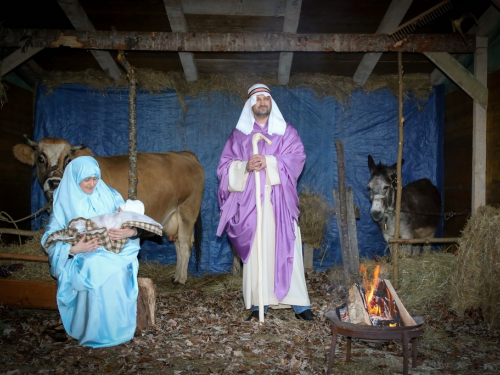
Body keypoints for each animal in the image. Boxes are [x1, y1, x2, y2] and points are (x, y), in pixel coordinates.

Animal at [13, 137, 205, 284]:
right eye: (40, 158)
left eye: (68, 158)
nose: (54, 182)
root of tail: (183, 154)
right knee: (179, 243)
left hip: (188, 208)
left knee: (185, 244)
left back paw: (180, 279)